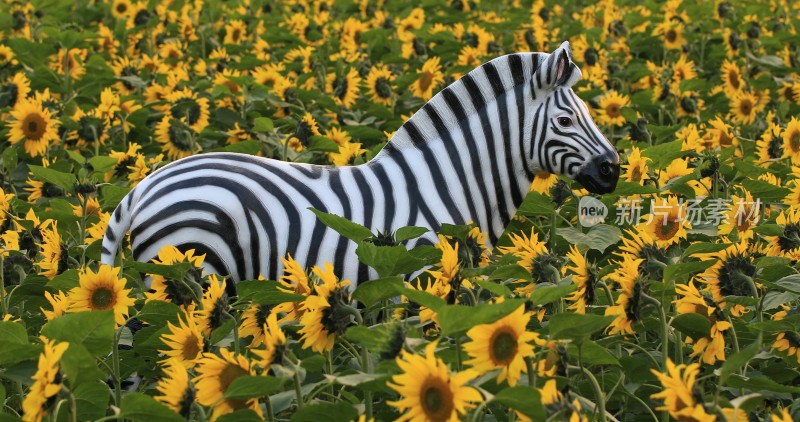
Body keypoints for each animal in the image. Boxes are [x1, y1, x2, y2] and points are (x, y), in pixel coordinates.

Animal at [100, 41, 620, 288]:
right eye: (565, 119)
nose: (613, 170)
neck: (448, 182)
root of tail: (142, 187)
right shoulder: (418, 276)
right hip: (186, 272)